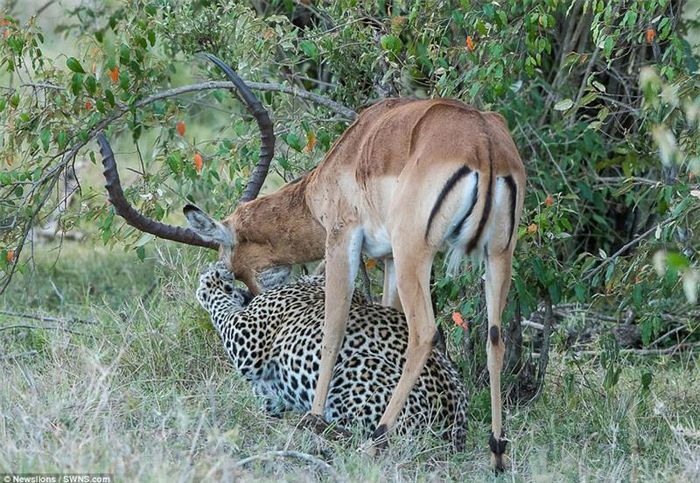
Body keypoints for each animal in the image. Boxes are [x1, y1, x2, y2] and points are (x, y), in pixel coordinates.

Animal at [96, 54, 525, 470]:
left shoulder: (342, 239)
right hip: (496, 253)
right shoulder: (385, 256)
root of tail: (482, 142)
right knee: (495, 337)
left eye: (232, 269)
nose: (253, 300)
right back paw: (496, 453)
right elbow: (388, 311)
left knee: (425, 333)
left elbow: (334, 326)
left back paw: (375, 439)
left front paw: (315, 417)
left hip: (416, 252)